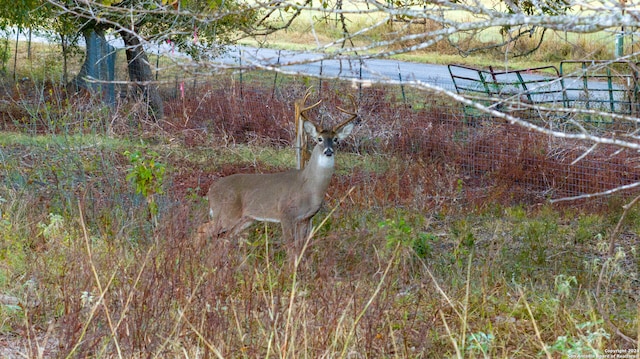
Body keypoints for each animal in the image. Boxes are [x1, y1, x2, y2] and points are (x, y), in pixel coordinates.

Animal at [199, 93, 358, 245]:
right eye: (319, 139)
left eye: (336, 140)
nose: (328, 151)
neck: (309, 186)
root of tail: (211, 189)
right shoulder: (285, 214)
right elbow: (290, 247)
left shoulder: (305, 219)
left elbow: (300, 247)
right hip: (226, 213)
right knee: (202, 230)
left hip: (245, 218)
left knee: (222, 238)